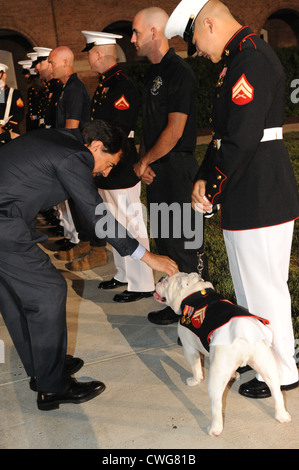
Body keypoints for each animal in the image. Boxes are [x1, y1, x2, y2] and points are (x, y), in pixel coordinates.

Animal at [156, 272, 292, 436]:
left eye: (166, 281)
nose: (160, 278)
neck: (193, 292)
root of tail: (243, 335)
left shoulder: (189, 347)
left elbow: (196, 368)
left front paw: (194, 380)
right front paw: (233, 375)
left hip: (216, 376)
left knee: (217, 404)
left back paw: (214, 428)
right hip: (266, 364)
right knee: (277, 392)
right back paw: (282, 415)